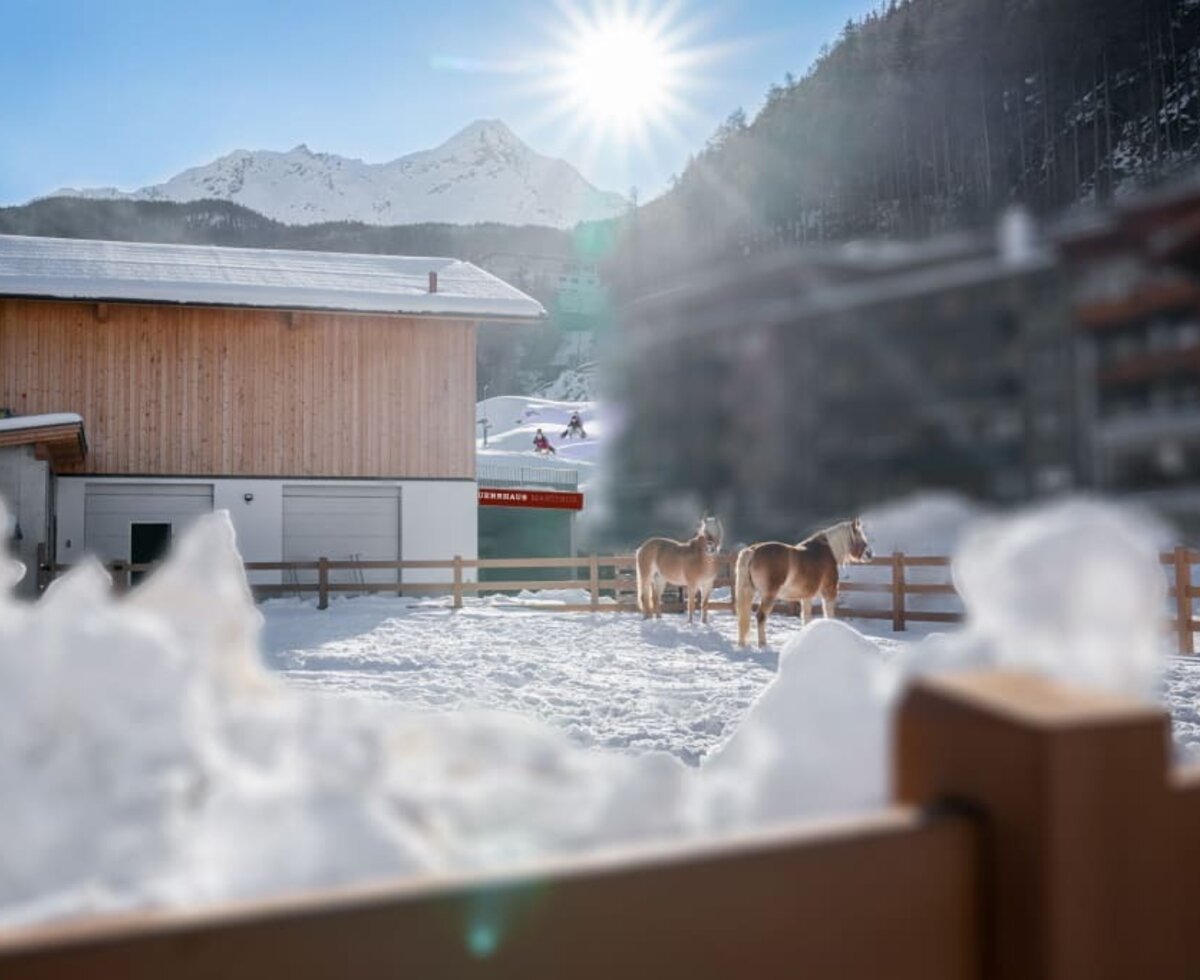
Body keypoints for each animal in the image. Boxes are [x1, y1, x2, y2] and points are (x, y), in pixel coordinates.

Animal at [729, 515, 873, 647]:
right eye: (861, 537)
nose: (870, 554)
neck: (828, 551)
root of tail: (753, 551)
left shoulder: (806, 597)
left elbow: (806, 618)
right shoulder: (829, 593)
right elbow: (829, 615)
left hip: (750, 591)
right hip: (769, 595)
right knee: (761, 616)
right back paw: (763, 644)